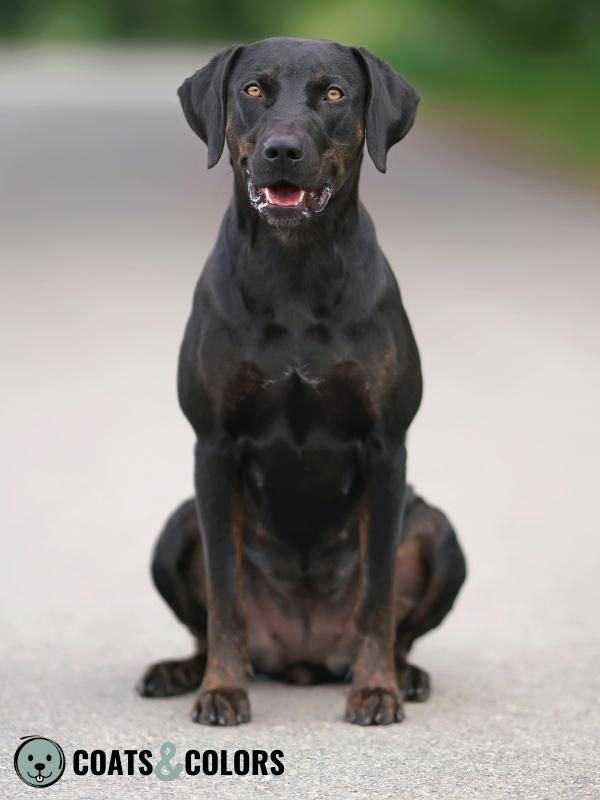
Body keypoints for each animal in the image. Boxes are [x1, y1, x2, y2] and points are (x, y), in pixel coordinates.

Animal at [138, 37, 466, 724]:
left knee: (400, 624)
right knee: (206, 621)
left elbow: (378, 590)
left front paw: (376, 690)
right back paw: (183, 670)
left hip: (440, 533)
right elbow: (225, 591)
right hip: (175, 527)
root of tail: (302, 659)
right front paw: (221, 690)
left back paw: (401, 673)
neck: (293, 267)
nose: (282, 150)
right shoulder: (213, 447)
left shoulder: (385, 446)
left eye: (335, 93)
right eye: (253, 90)